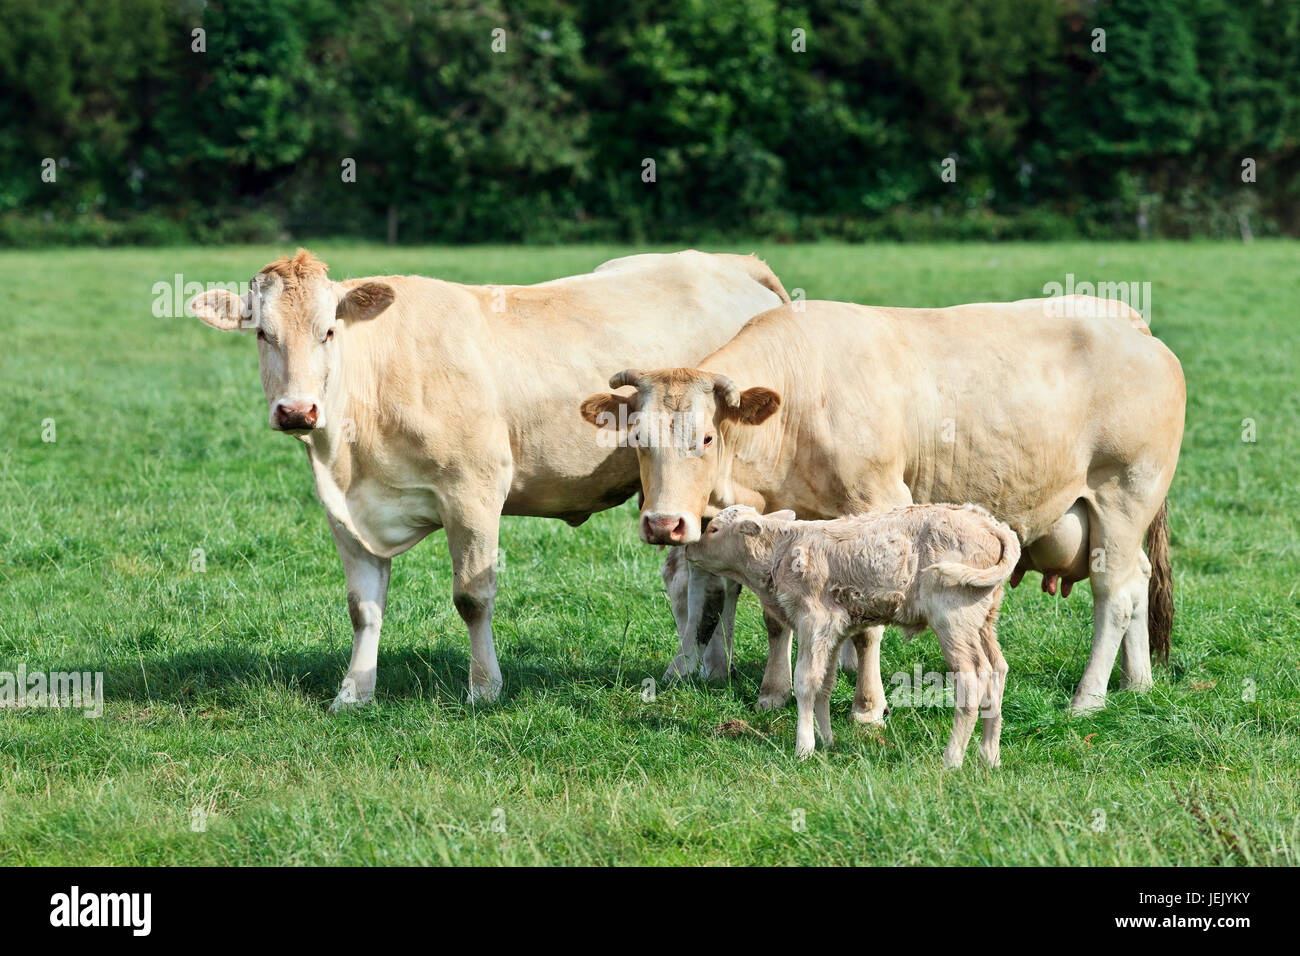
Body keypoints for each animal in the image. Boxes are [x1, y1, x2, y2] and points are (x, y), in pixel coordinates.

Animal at [187, 247, 785, 712]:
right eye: (262, 334)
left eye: (328, 331)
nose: (296, 411)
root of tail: (732, 263)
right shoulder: (346, 512)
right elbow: (363, 608)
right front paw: (354, 693)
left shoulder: (472, 492)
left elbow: (472, 597)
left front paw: (484, 689)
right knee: (694, 578)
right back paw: (704, 667)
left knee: (711, 584)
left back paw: (692, 668)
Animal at [585, 295, 1185, 712]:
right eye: (636, 437)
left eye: (707, 438)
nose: (664, 523)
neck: (799, 402)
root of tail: (1125, 320)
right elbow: (776, 617)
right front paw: (777, 693)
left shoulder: (878, 504)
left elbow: (868, 625)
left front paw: (866, 705)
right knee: (1137, 580)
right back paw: (1137, 683)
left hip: (1123, 497)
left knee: (1114, 596)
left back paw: (1089, 697)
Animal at [686, 504, 1019, 764]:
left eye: (713, 529)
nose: (688, 548)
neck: (783, 551)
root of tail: (991, 524)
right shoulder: (834, 628)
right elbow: (825, 685)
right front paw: (827, 742)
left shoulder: (814, 621)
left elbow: (805, 682)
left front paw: (803, 747)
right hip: (984, 618)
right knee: (997, 671)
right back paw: (990, 757)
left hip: (953, 618)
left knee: (972, 677)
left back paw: (952, 760)